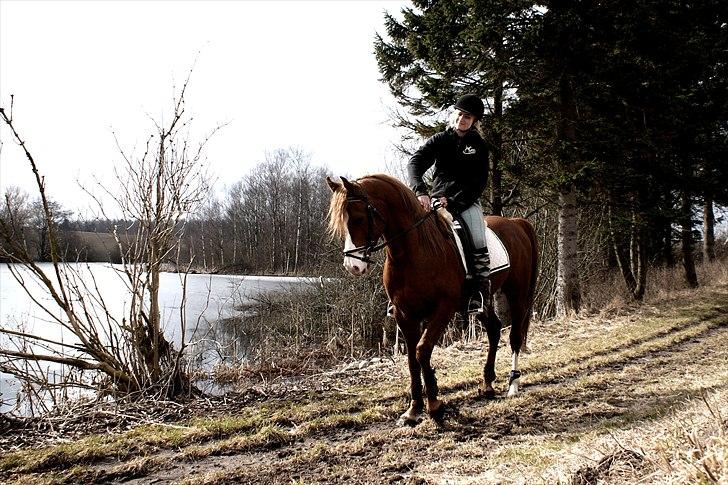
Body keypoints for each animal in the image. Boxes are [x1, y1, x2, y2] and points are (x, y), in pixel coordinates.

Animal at [328, 174, 536, 424]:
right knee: (494, 330)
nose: (353, 266)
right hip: (482, 301)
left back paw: (513, 384)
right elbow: (412, 360)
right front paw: (413, 409)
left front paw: (435, 405)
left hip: (517, 292)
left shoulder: (442, 310)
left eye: (358, 218)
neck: (414, 251)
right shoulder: (405, 315)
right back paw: (487, 383)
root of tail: (516, 223)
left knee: (515, 336)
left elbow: (422, 350)